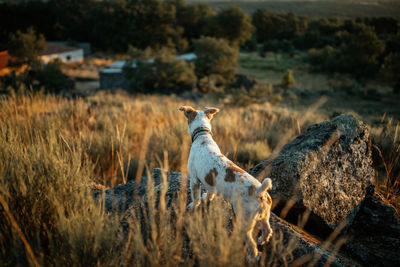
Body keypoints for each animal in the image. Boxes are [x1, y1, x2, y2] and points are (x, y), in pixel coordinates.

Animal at [180, 106, 274, 260]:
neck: (203, 136)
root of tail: (259, 190)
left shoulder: (194, 179)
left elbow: (195, 197)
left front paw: (192, 206)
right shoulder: (210, 183)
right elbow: (209, 193)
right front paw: (206, 198)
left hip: (244, 220)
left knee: (251, 243)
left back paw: (252, 257)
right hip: (265, 216)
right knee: (267, 230)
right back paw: (261, 240)